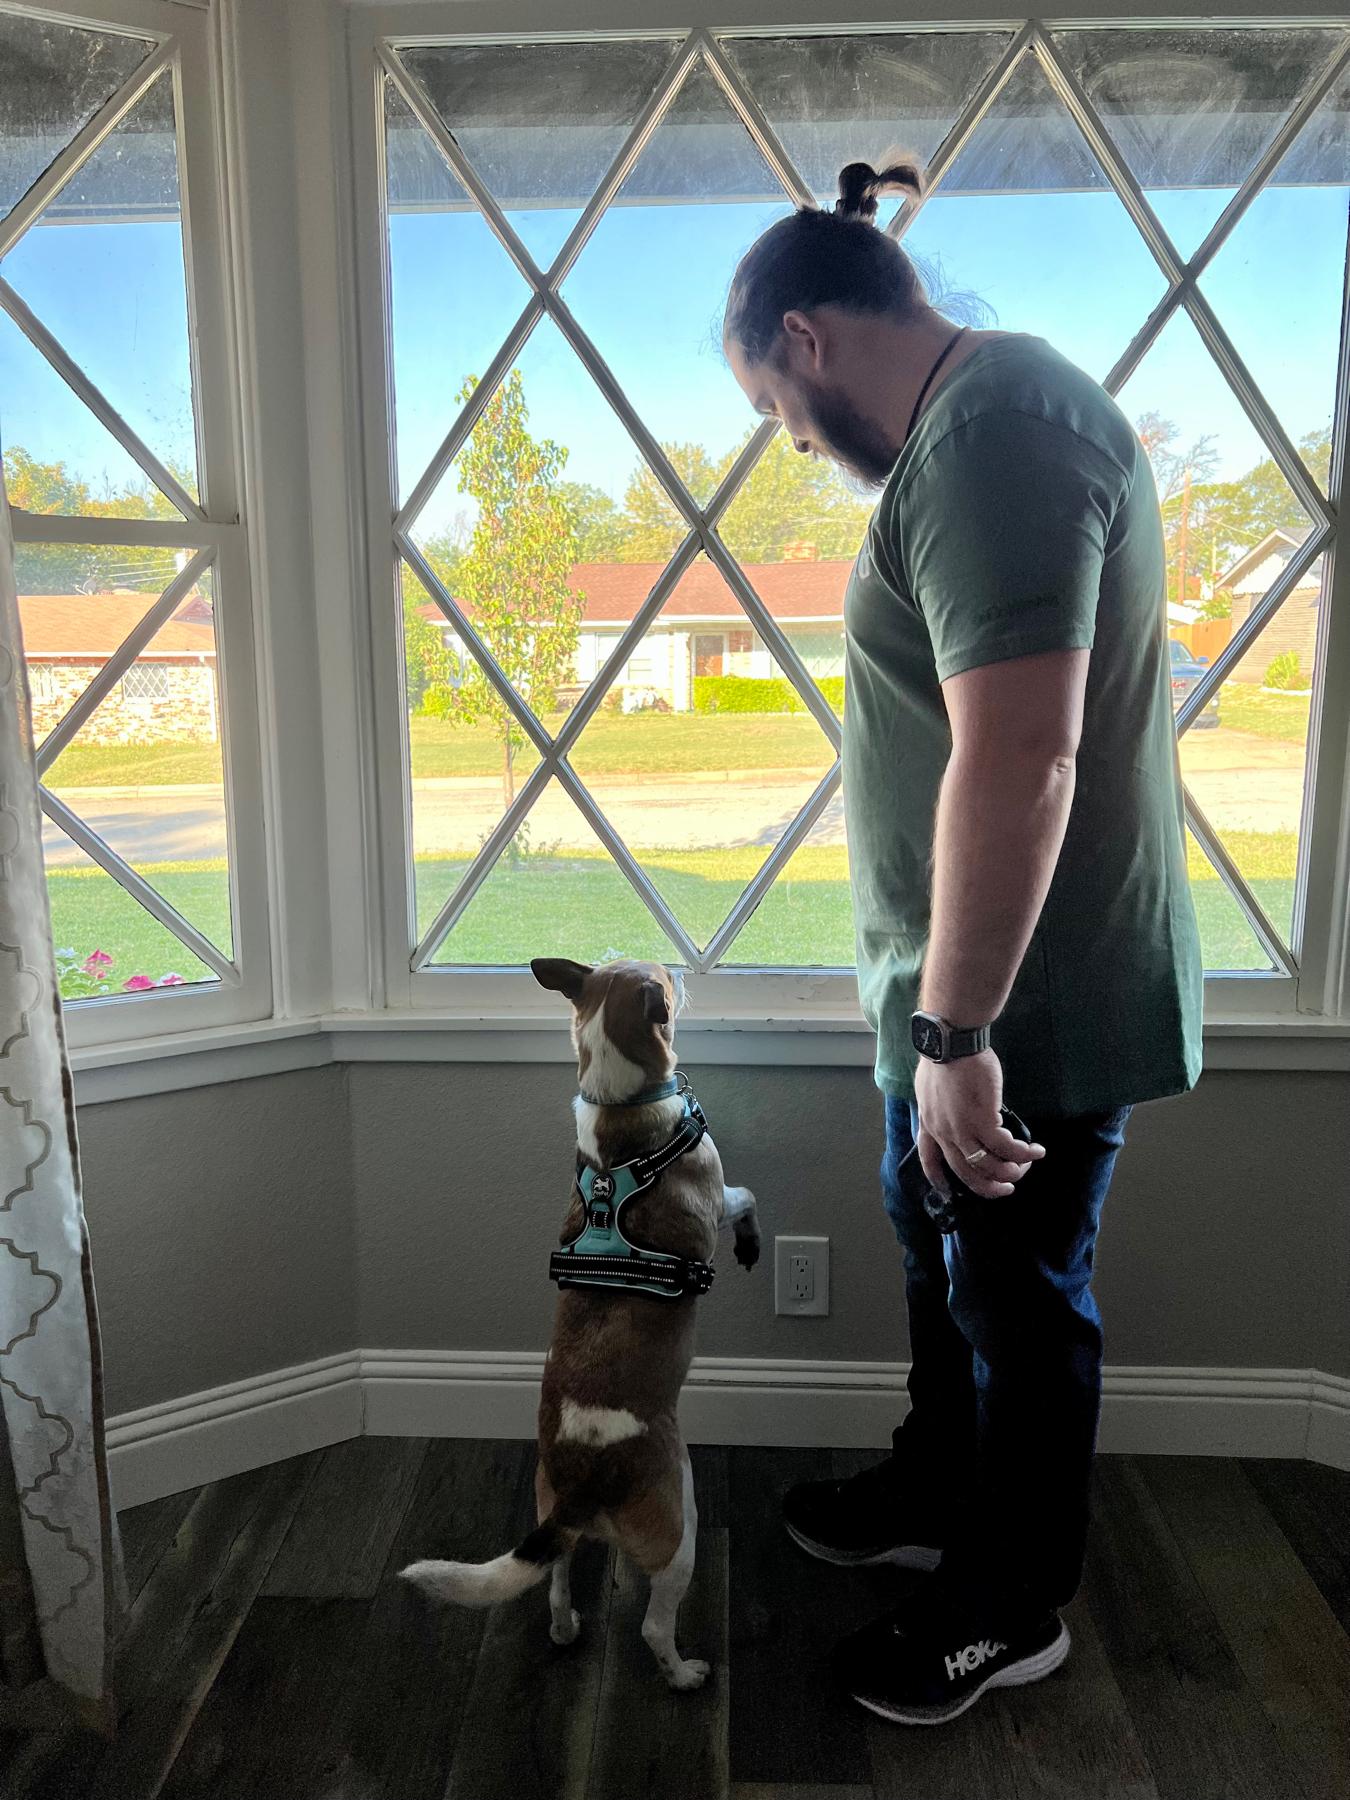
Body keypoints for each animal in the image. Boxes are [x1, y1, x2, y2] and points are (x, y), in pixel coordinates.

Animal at [399, 957, 763, 1684]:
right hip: (679, 1523)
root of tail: (583, 1486)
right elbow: (745, 1200)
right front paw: (749, 1243)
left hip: (550, 1511)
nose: (679, 969)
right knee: (654, 1623)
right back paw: (684, 1673)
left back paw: (566, 1626)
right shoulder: (717, 1195)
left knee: (558, 1578)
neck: (621, 1116)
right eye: (666, 978)